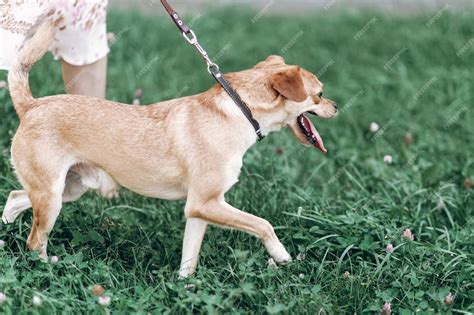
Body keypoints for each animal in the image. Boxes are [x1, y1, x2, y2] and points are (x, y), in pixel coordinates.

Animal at [2, 18, 336, 278]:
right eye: (319, 94)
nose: (336, 106)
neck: (240, 109)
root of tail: (31, 106)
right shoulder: (207, 203)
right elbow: (263, 224)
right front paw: (282, 256)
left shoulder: (199, 210)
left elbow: (189, 259)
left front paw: (185, 290)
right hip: (52, 198)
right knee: (35, 241)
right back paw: (46, 269)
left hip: (68, 190)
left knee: (15, 198)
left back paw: (4, 234)